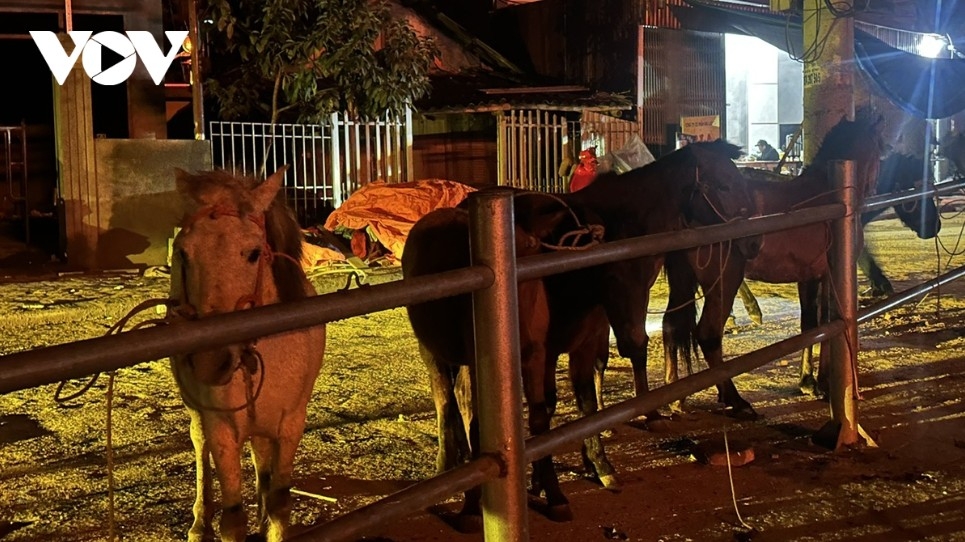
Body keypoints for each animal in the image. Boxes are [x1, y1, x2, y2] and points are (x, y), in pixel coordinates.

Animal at [169, 166, 326, 542]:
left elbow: (279, 504)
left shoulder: (291, 423)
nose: (209, 361)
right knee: (199, 446)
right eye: (182, 253)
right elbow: (233, 520)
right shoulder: (222, 429)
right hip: (198, 412)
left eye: (254, 253)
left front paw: (269, 517)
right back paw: (199, 524)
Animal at [663, 115, 886, 407]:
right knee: (708, 334)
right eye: (879, 148)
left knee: (670, 326)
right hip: (724, 282)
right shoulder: (825, 276)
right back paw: (734, 399)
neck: (829, 195)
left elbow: (812, 325)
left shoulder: (809, 278)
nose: (875, 188)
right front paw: (818, 383)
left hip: (683, 280)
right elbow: (822, 323)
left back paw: (674, 398)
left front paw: (812, 381)